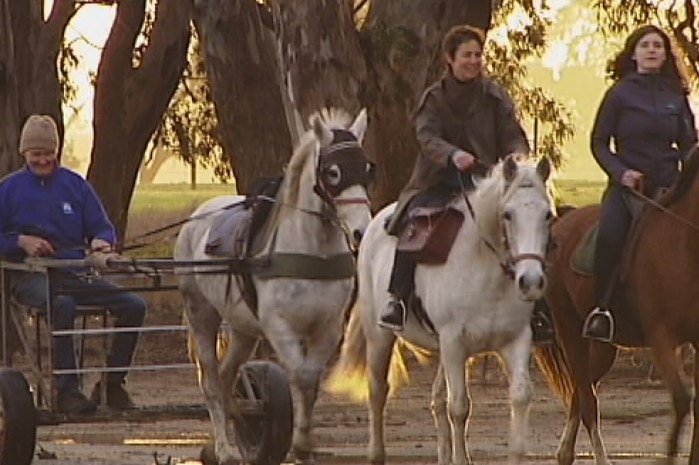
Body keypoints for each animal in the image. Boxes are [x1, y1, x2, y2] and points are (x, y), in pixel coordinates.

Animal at [175, 109, 374, 464]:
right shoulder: (279, 326)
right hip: (201, 314)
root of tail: (196, 218)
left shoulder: (328, 329)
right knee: (211, 381)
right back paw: (224, 449)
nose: (362, 232)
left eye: (367, 169)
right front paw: (299, 445)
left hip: (243, 329)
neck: (311, 249)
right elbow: (301, 377)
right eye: (333, 172)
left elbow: (311, 383)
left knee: (226, 377)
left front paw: (303, 447)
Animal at [326, 155, 552, 464]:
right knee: (378, 391)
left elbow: (519, 396)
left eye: (547, 215)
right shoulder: (454, 342)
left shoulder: (516, 341)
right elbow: (458, 407)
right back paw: (376, 453)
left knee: (435, 399)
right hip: (380, 336)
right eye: (507, 214)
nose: (531, 282)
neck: (483, 268)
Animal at [540, 142, 699, 464]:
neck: (683, 245)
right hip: (569, 328)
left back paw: (565, 453)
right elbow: (681, 400)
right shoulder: (661, 338)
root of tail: (565, 220)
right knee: (588, 403)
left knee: (581, 391)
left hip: (603, 347)